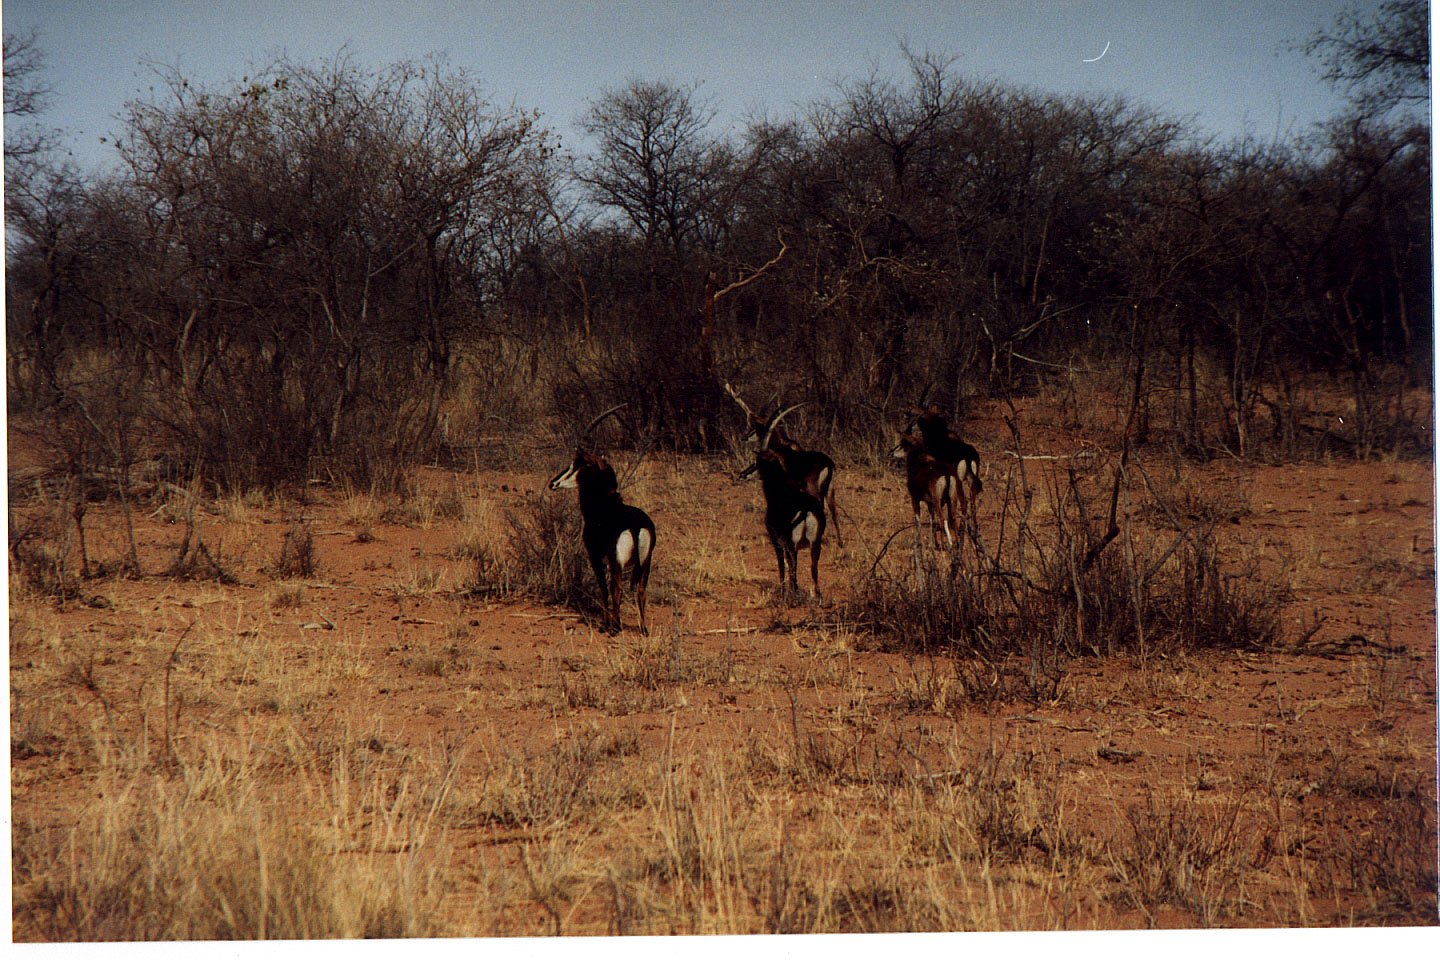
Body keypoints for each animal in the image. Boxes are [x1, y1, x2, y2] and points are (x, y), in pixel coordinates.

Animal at [547, 408, 656, 639]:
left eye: (576, 464)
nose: (553, 483)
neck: (604, 505)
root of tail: (636, 526)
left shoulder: (595, 557)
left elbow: (603, 588)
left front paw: (606, 624)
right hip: (646, 561)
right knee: (641, 590)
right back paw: (643, 629)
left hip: (617, 562)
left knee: (617, 587)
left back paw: (615, 627)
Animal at [720, 382, 840, 546]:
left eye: (755, 428)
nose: (744, 438)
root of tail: (829, 464)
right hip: (830, 490)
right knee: (834, 512)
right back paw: (839, 543)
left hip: (814, 489)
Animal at [737, 402, 829, 601]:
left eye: (757, 461)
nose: (742, 474)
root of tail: (807, 511)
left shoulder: (776, 539)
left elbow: (781, 566)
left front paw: (781, 589)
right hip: (815, 544)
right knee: (813, 570)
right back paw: (817, 597)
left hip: (792, 543)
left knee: (793, 569)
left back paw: (793, 594)